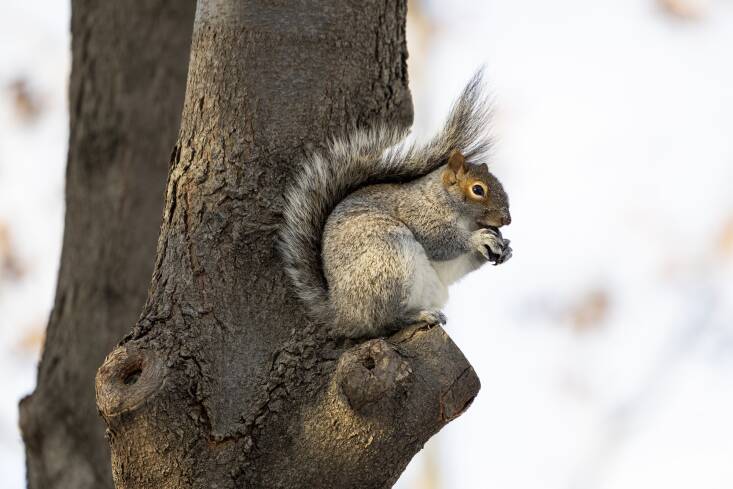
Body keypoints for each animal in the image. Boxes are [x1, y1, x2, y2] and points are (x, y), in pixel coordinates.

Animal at [279, 73, 512, 339]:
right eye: (478, 190)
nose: (507, 219)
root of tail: (343, 316)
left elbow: (458, 264)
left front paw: (504, 247)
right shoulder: (418, 212)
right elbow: (439, 241)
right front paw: (478, 239)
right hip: (388, 263)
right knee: (386, 323)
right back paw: (420, 315)